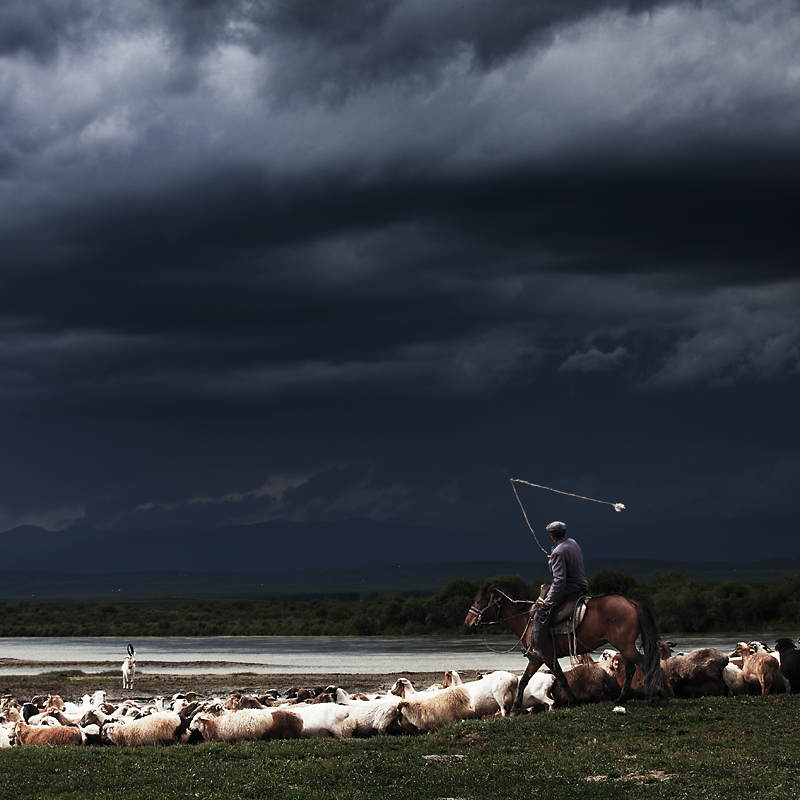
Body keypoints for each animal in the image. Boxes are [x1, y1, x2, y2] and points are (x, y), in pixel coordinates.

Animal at [462, 580, 664, 712]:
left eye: (480, 601)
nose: (468, 622)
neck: (527, 618)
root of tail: (631, 602)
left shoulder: (542, 657)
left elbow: (542, 678)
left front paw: (515, 708)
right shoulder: (543, 658)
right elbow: (539, 678)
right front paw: (571, 701)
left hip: (626, 645)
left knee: (645, 664)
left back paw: (655, 695)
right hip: (624, 646)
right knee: (631, 669)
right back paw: (622, 698)